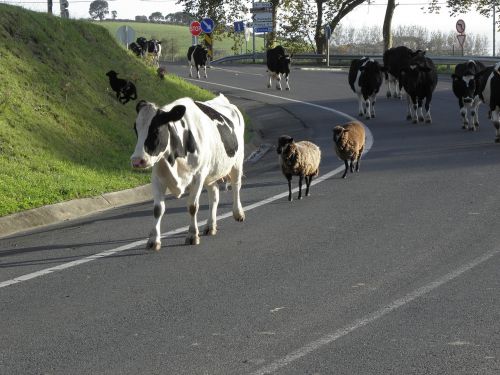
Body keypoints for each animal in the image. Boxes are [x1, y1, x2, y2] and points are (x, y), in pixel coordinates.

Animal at [130, 93, 245, 250]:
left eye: (156, 130)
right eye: (135, 129)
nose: (137, 160)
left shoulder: (198, 176)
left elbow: (192, 206)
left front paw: (192, 235)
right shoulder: (158, 178)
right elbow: (158, 209)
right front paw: (154, 240)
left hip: (237, 162)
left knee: (236, 185)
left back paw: (238, 213)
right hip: (210, 172)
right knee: (214, 194)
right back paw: (210, 225)